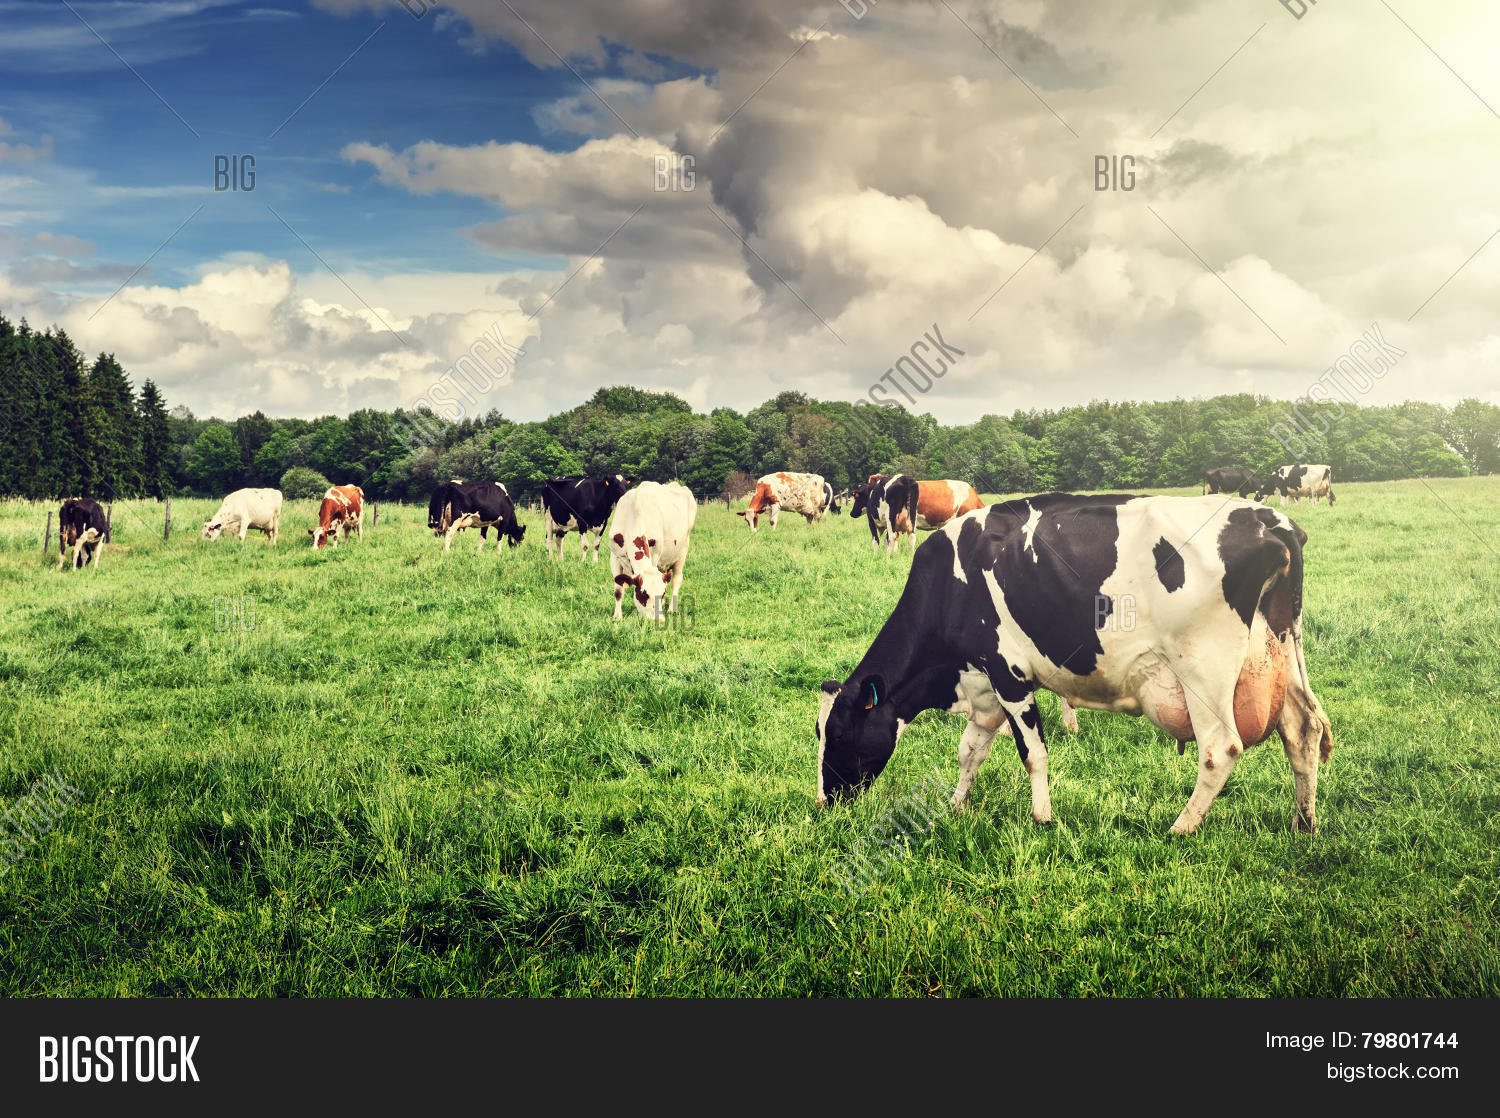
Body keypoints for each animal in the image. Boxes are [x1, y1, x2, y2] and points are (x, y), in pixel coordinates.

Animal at [609, 481, 697, 620]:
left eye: (662, 593)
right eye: (644, 594)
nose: (659, 620)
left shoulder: (655, 555)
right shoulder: (614, 557)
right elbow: (618, 590)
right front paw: (617, 617)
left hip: (683, 551)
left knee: (676, 579)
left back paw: (672, 609)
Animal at [815, 493, 1333, 835]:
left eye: (837, 734)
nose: (824, 801)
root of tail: (1270, 518)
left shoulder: (1009, 674)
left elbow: (1032, 752)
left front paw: (1042, 817)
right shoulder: (982, 683)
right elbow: (970, 751)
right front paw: (958, 805)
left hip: (1203, 669)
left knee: (1220, 748)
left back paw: (1181, 828)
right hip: (1278, 651)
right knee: (1303, 730)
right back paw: (1304, 823)